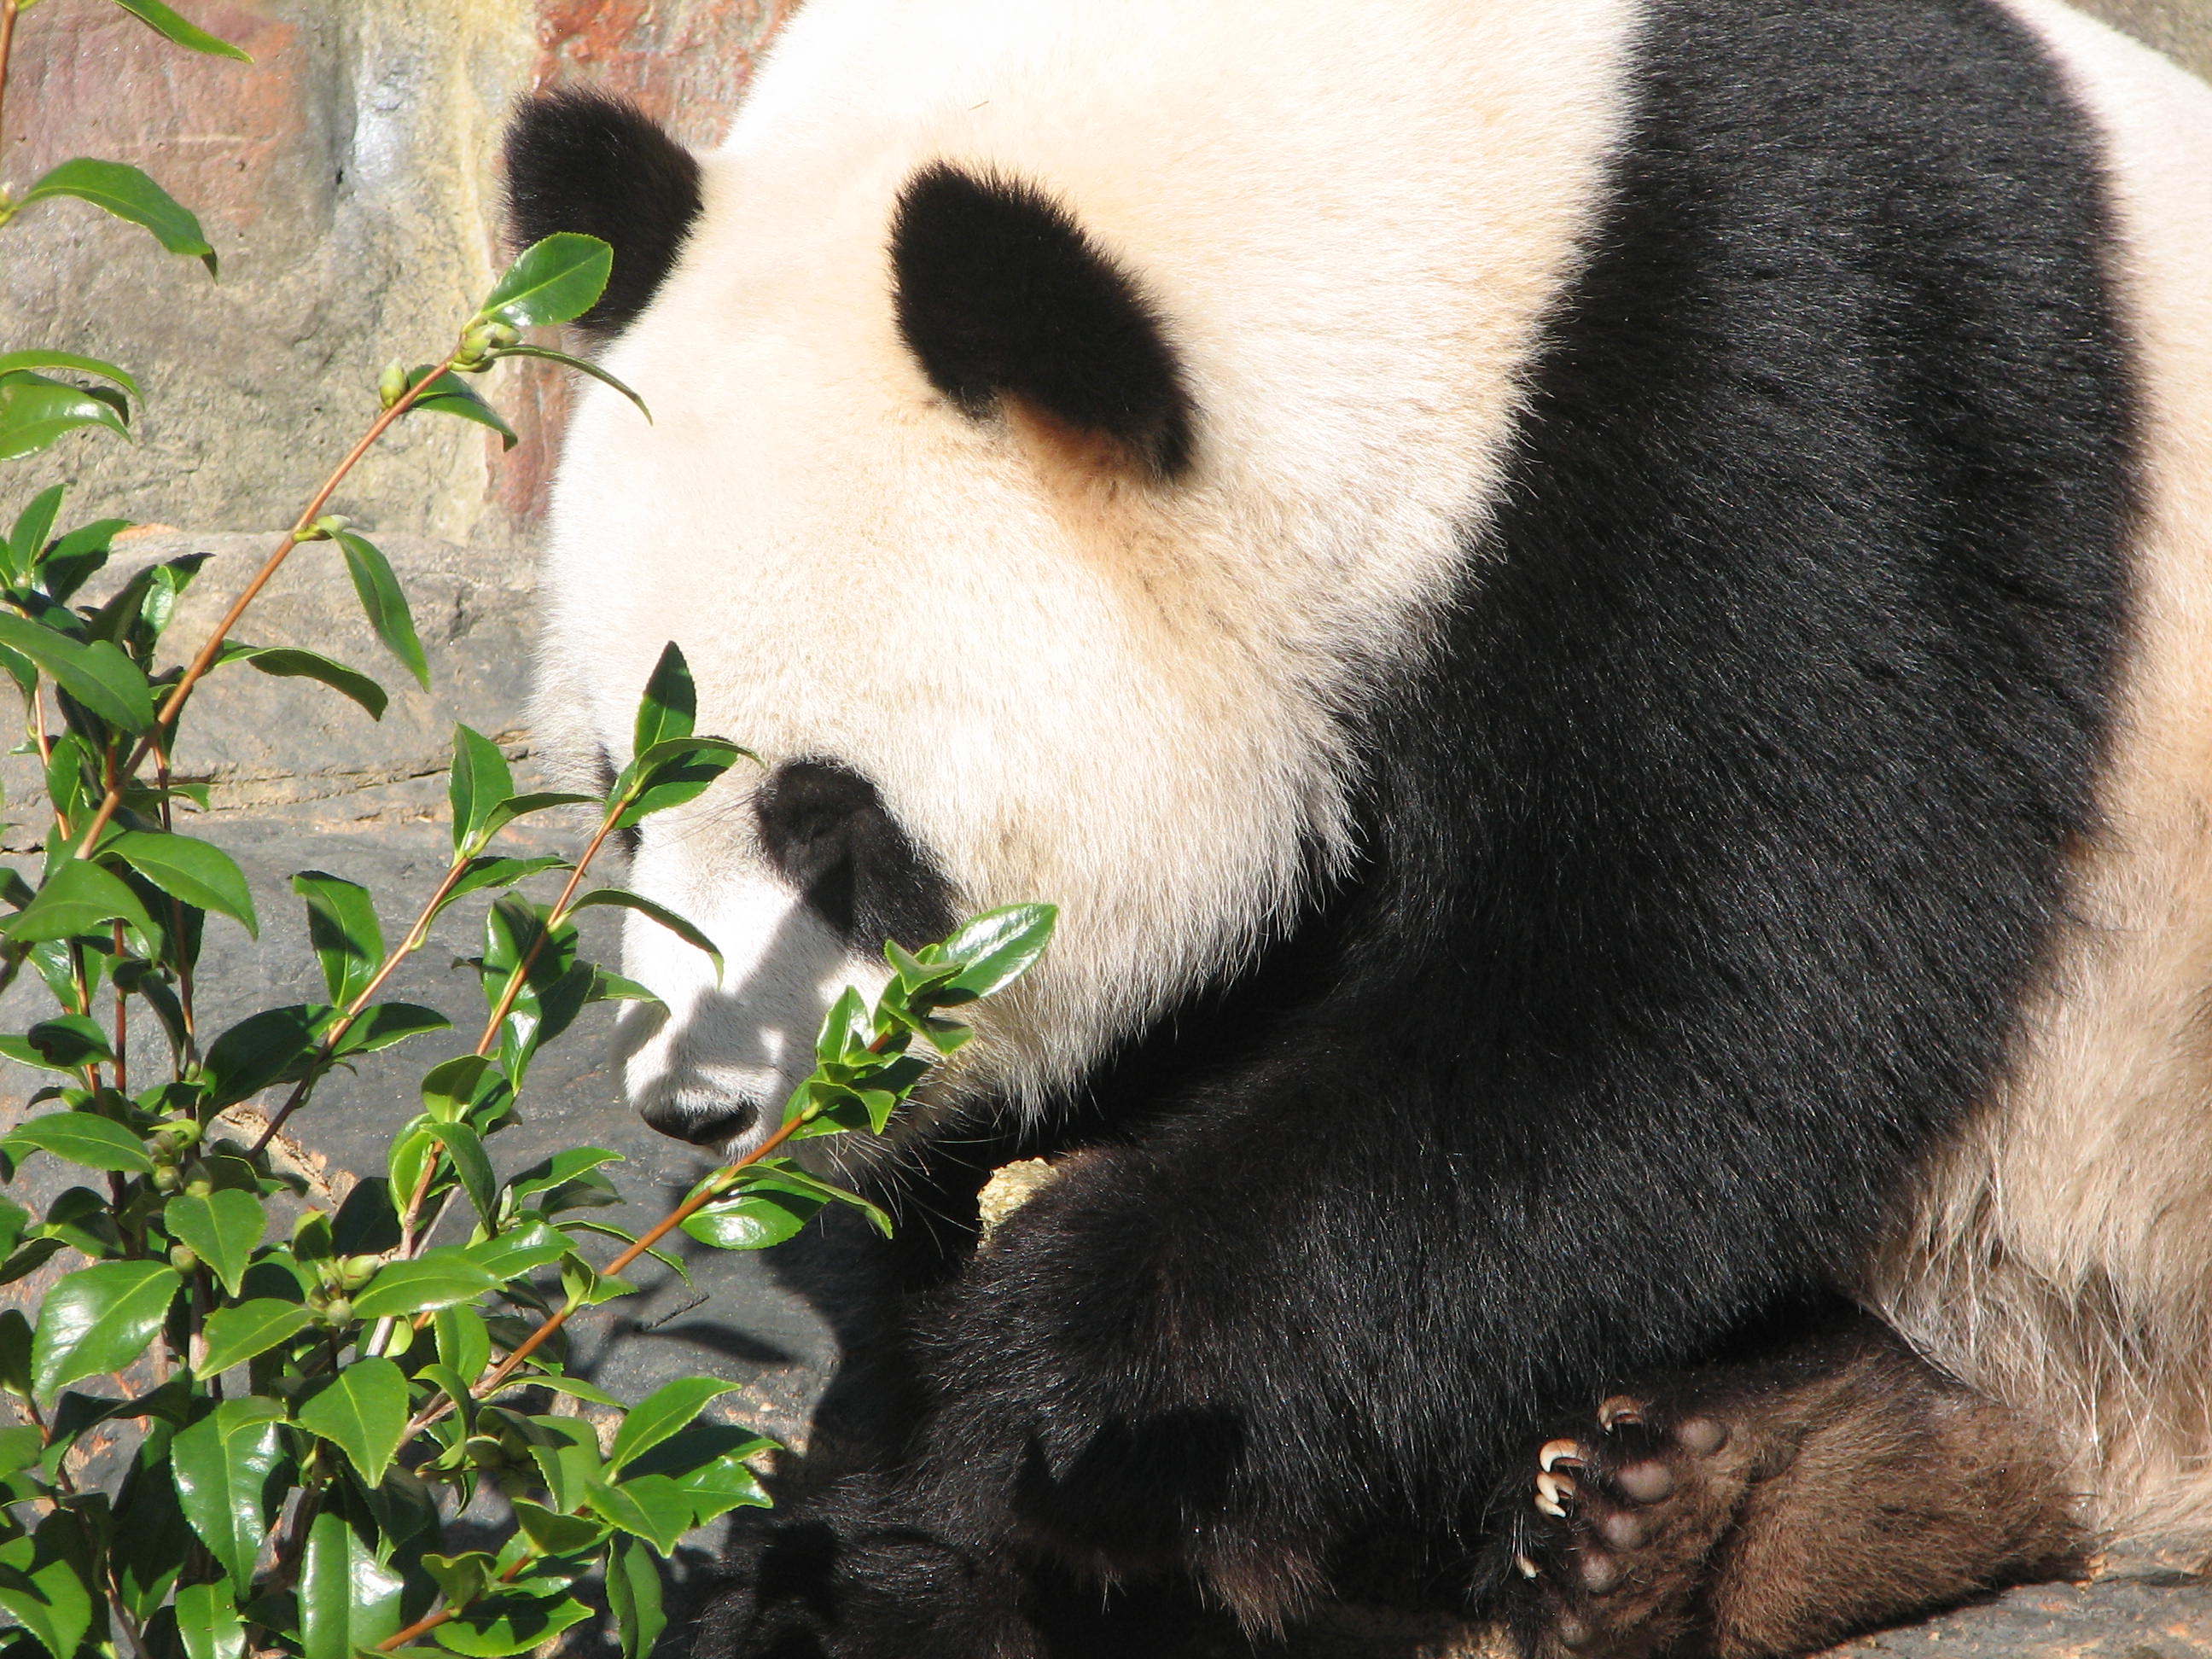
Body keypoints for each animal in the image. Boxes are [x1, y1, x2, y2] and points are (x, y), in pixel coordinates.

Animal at [503, 0, 2212, 1654]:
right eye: (620, 801)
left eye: (835, 829)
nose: (700, 1101)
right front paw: (871, 1554)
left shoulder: (1809, 373)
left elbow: (1698, 999)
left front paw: (1029, 1397)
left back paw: (1736, 1494)